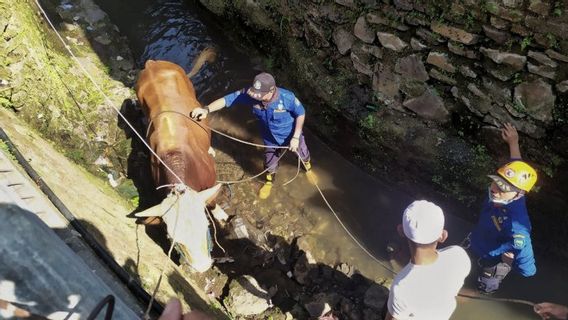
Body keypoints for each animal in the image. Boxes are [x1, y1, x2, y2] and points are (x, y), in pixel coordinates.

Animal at [134, 50, 227, 272]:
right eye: (173, 238)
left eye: (205, 225)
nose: (202, 267)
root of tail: (152, 64)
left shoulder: (211, 180)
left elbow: (212, 201)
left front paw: (220, 214)